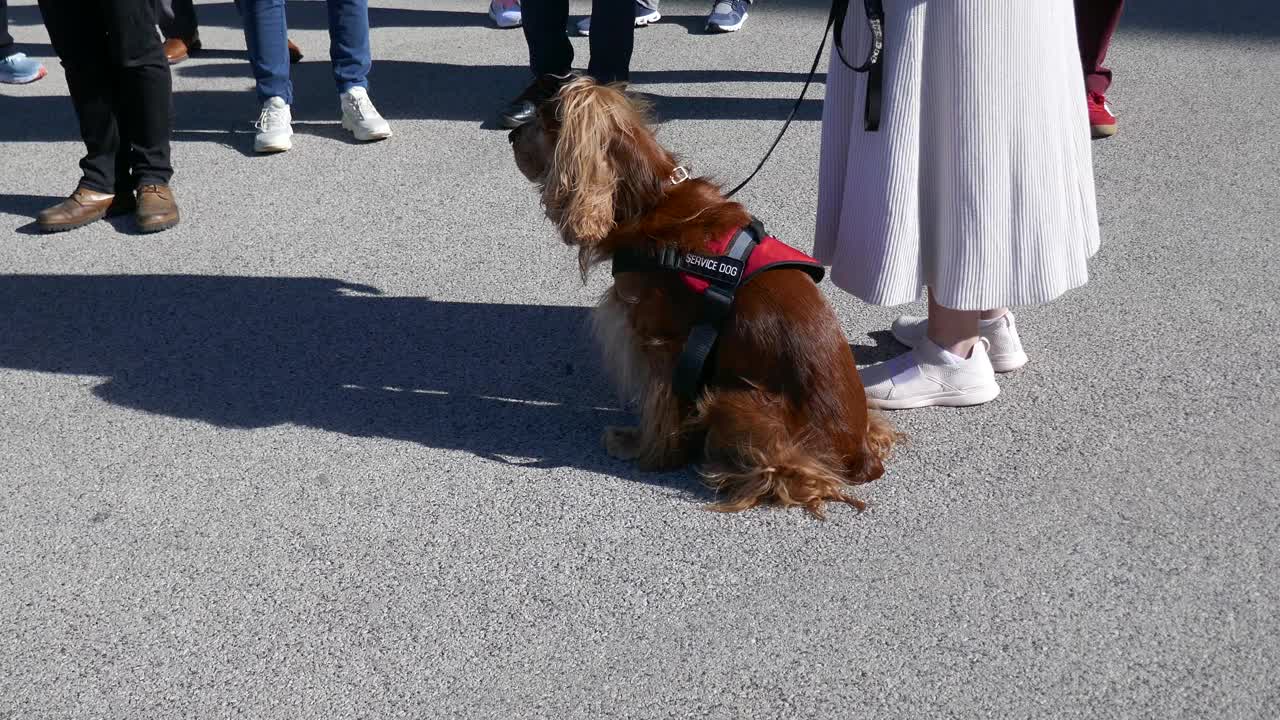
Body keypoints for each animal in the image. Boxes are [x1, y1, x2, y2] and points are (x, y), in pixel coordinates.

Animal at [506, 77, 890, 515]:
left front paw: (644, 449)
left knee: (791, 474)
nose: (510, 134)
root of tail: (859, 454)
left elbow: (659, 407)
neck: (651, 199)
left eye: (544, 119)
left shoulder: (658, 341)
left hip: (734, 400)